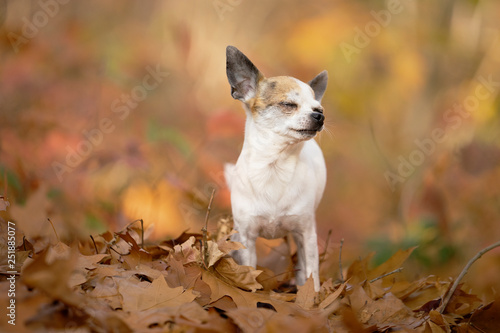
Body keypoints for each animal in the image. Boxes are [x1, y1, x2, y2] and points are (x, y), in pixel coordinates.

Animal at [224, 45, 328, 290]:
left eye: (318, 108)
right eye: (288, 105)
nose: (319, 116)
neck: (274, 167)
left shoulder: (306, 234)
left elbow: (312, 273)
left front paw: (314, 297)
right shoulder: (247, 238)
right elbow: (249, 270)